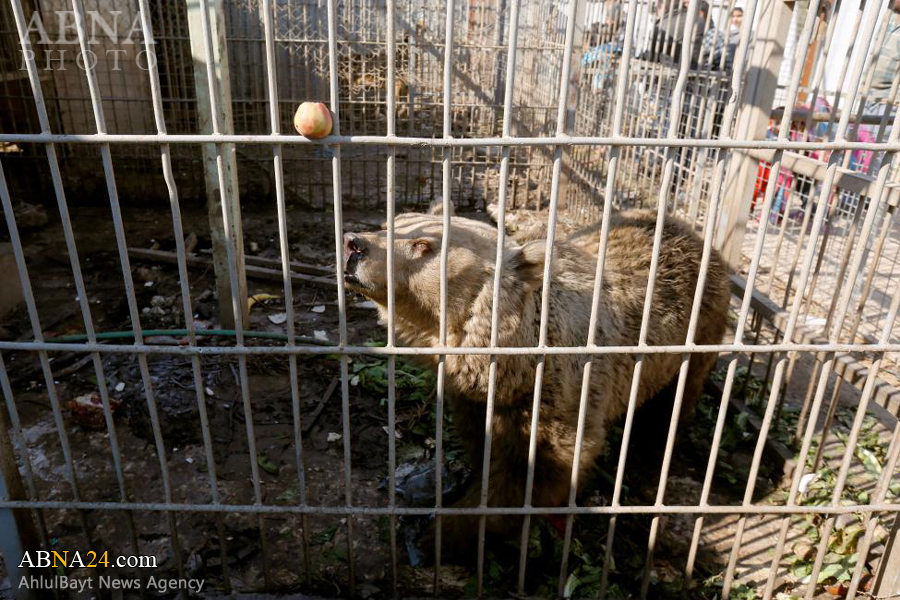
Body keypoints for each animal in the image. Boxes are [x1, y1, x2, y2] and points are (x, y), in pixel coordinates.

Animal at [342, 205, 732, 556]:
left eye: (423, 244)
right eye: (389, 223)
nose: (353, 243)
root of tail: (695, 235)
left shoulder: (557, 397)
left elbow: (534, 471)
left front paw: (440, 535)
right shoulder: (476, 398)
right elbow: (484, 443)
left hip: (691, 338)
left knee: (670, 404)